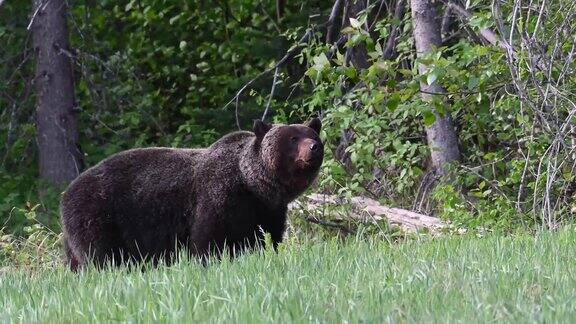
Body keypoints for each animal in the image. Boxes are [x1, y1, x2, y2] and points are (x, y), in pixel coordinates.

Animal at [61, 117, 326, 270]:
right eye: (293, 138)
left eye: (311, 135)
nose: (314, 147)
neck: (252, 184)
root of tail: (66, 192)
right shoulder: (218, 197)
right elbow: (207, 240)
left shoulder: (268, 210)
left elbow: (266, 238)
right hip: (98, 215)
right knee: (101, 255)